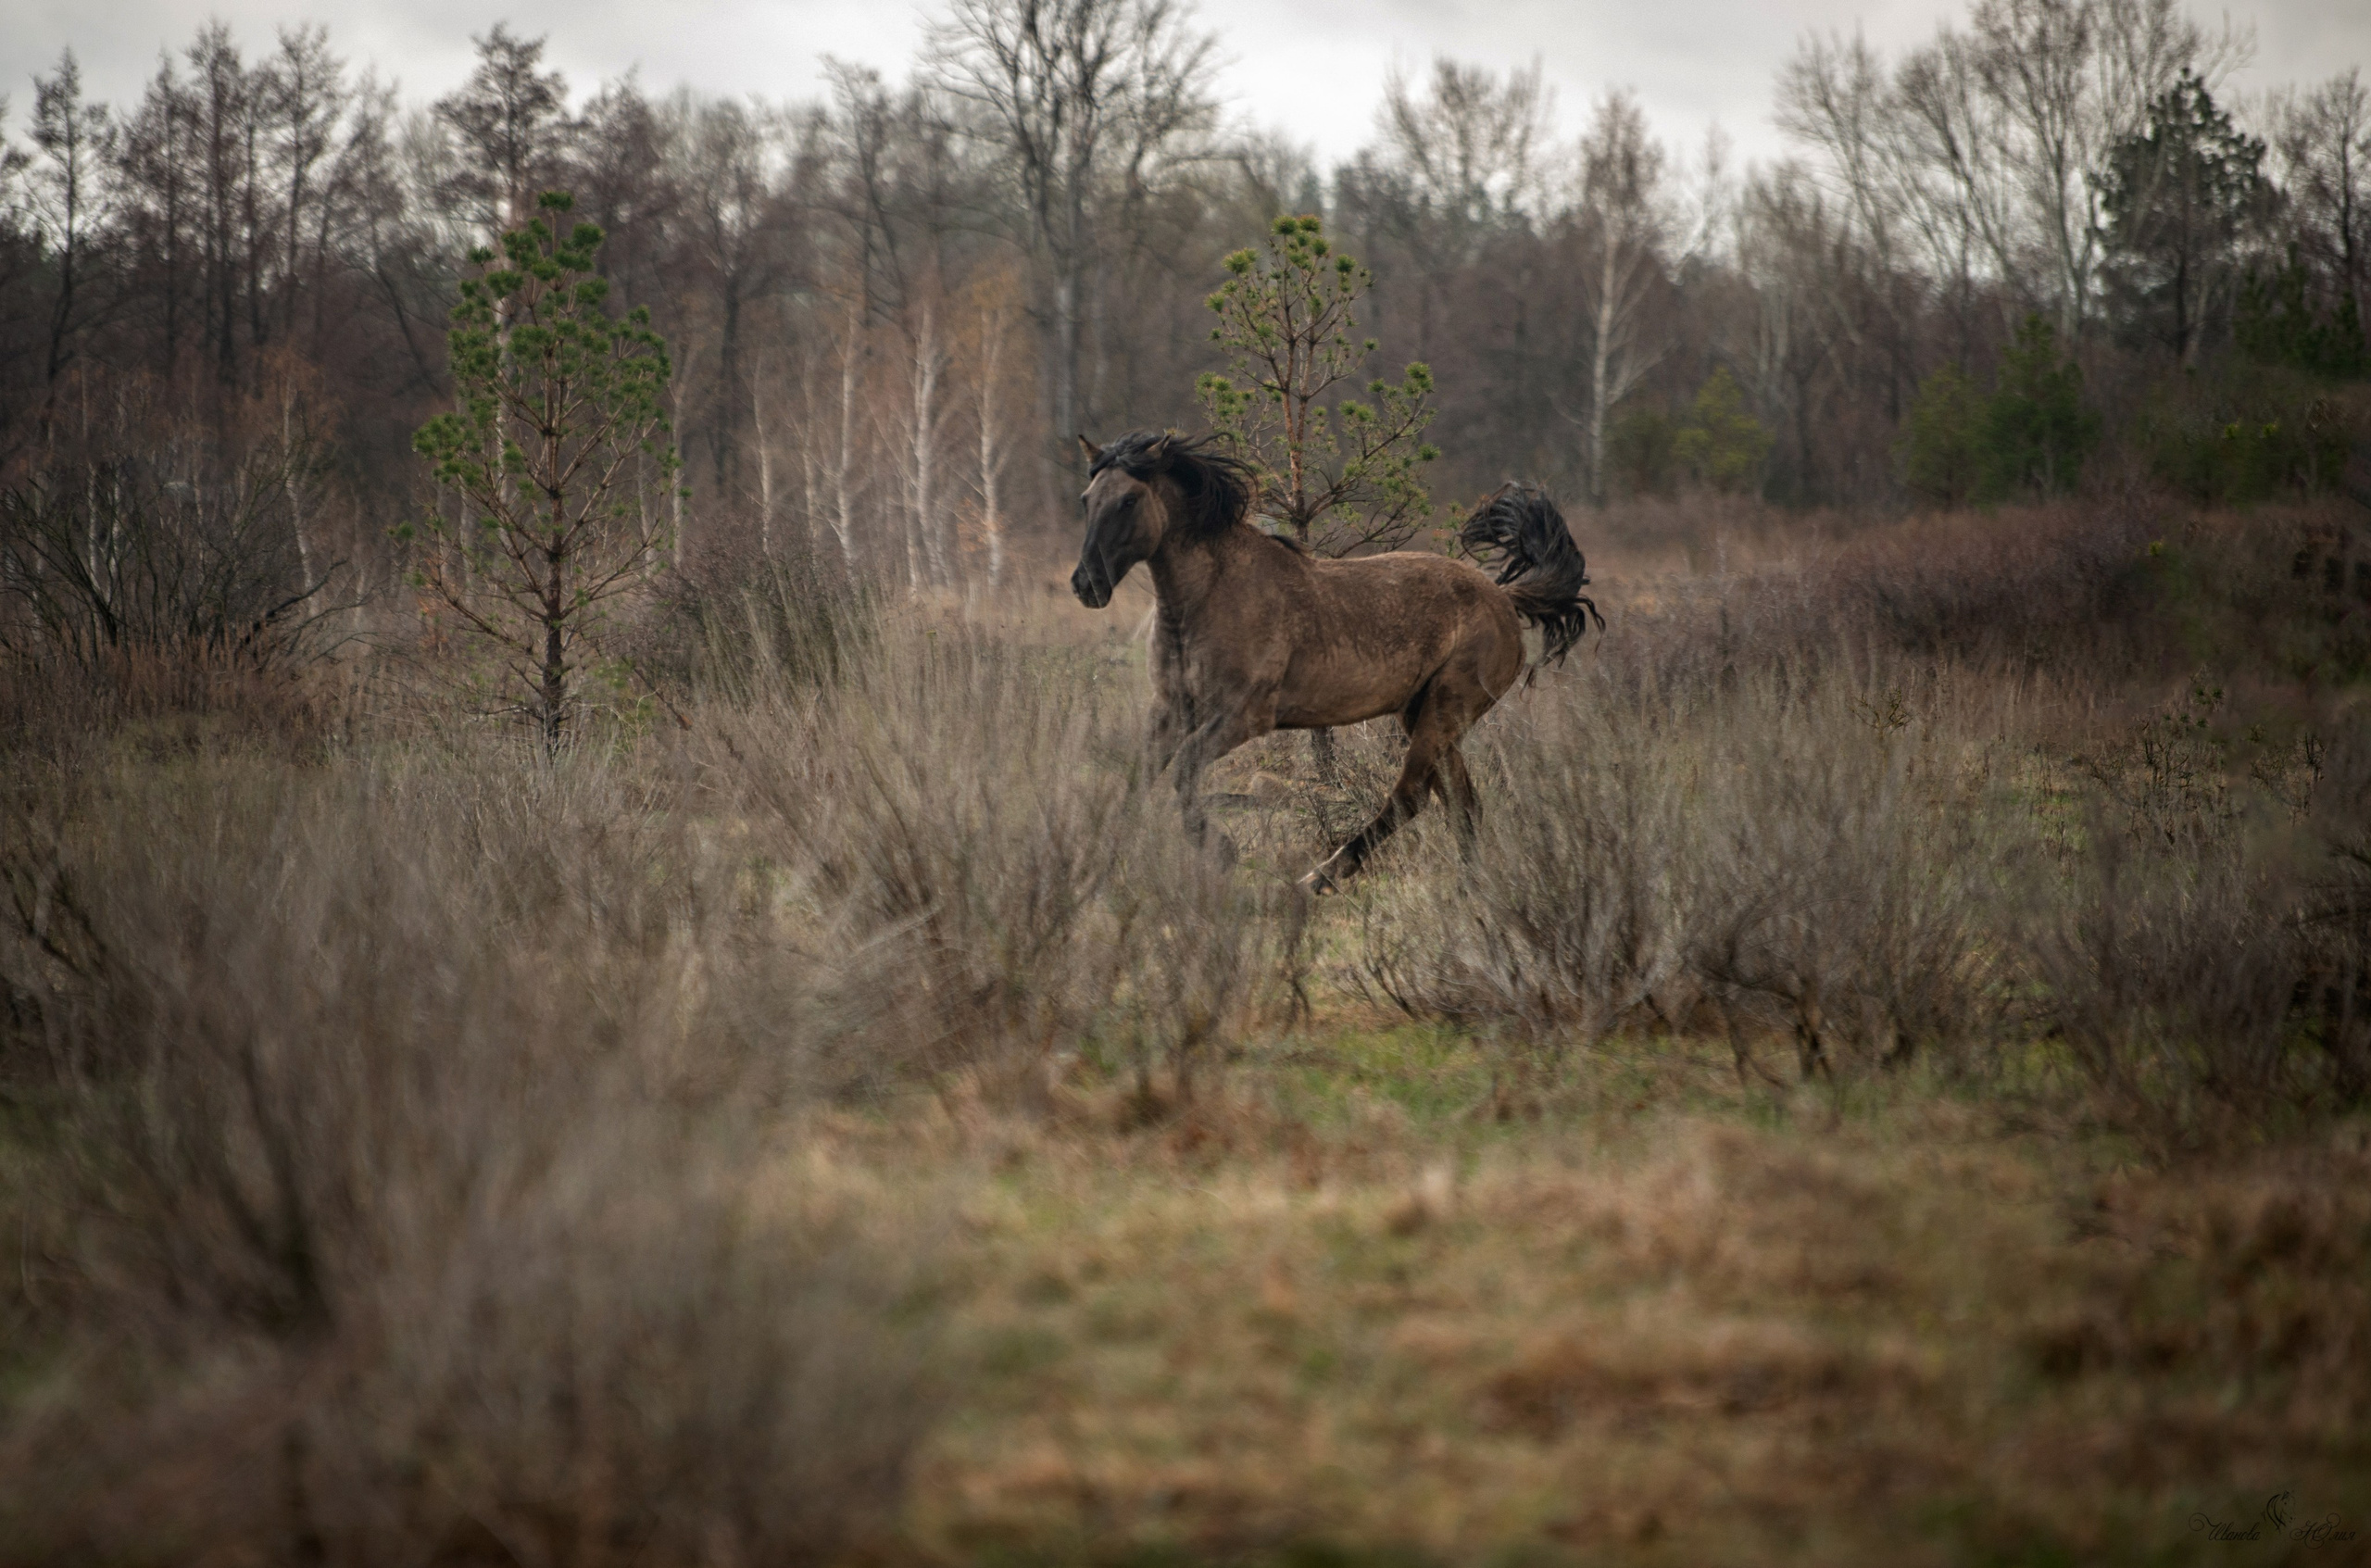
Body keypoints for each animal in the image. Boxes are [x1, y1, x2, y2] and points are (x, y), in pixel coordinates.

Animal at [1069, 430, 1602, 892]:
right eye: (1086, 499)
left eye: (1129, 500)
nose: (1086, 584)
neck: (1210, 597)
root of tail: (1503, 598)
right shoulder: (1171, 707)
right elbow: (1138, 779)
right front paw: (1097, 868)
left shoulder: (1242, 717)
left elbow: (1183, 773)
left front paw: (1221, 852)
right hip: (1424, 714)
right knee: (1462, 805)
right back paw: (1471, 892)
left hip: (1446, 709)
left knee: (1409, 797)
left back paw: (1321, 877)